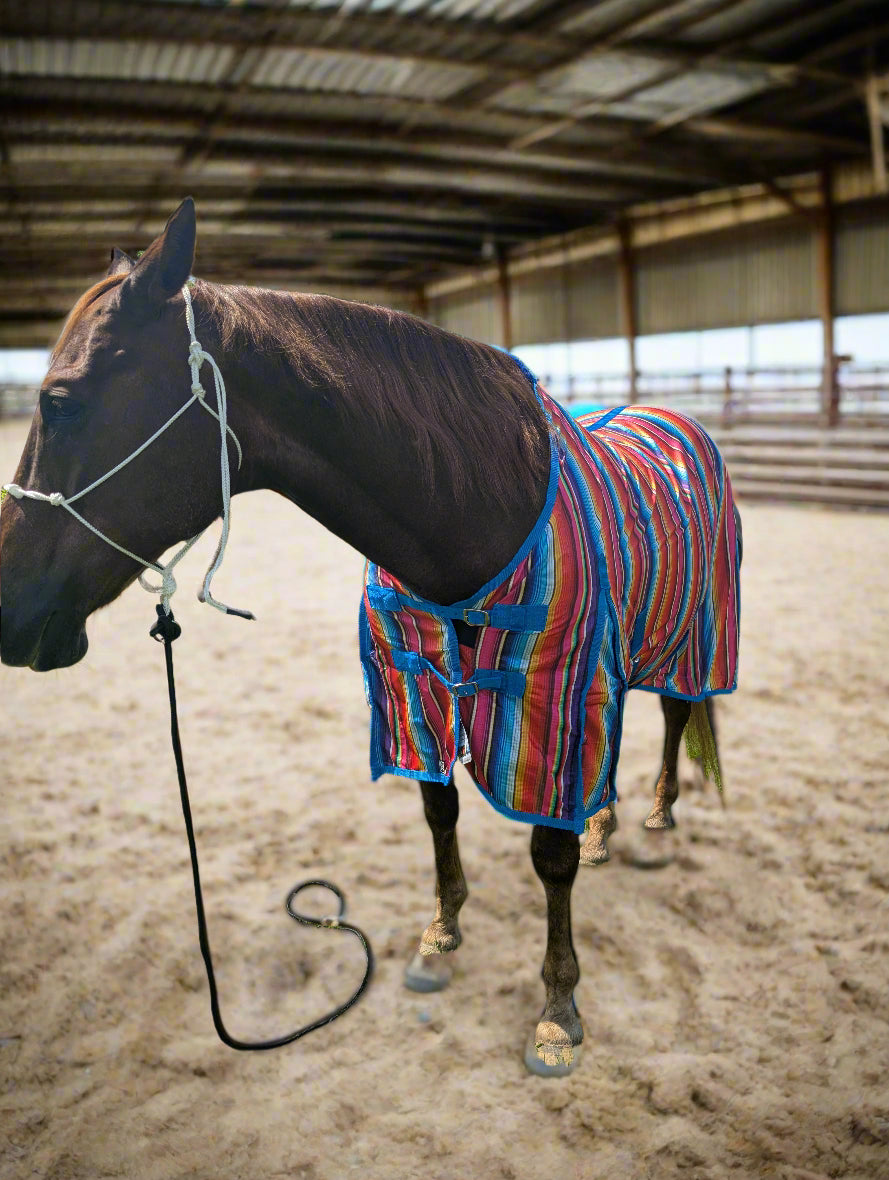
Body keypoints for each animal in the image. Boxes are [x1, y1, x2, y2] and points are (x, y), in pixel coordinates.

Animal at [0, 199, 741, 1077]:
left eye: (59, 401)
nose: (6, 604)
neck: (474, 506)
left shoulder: (553, 696)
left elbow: (547, 854)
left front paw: (558, 1007)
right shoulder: (414, 683)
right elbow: (438, 808)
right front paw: (440, 938)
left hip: (689, 635)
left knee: (673, 713)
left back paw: (656, 826)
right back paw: (606, 831)